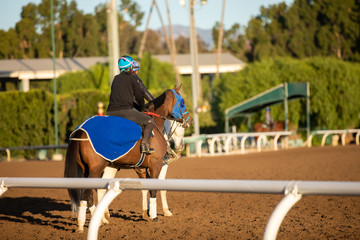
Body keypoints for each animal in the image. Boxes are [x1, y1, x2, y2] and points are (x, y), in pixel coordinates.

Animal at [64, 85, 191, 232]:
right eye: (183, 102)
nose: (190, 120)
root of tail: (81, 130)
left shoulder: (141, 169)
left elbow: (145, 188)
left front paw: (146, 213)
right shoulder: (157, 165)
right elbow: (156, 188)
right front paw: (156, 215)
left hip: (94, 168)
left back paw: (97, 220)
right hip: (95, 169)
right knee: (88, 193)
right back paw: (87, 223)